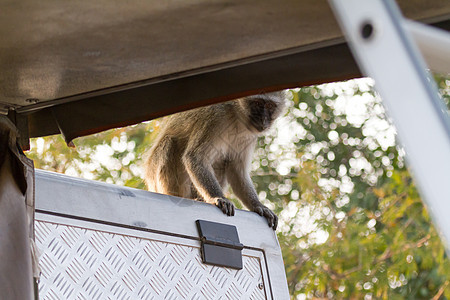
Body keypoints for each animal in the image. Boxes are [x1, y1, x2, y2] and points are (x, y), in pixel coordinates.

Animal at [144, 92, 284, 230]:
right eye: (258, 103)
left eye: (270, 106)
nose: (263, 119)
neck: (237, 116)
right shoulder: (215, 117)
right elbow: (195, 157)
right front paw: (218, 198)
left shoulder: (248, 136)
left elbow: (237, 171)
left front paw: (258, 205)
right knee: (169, 143)